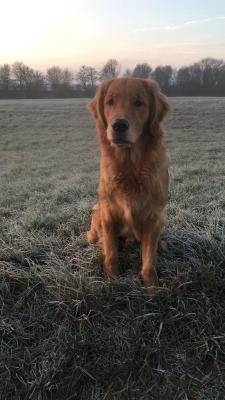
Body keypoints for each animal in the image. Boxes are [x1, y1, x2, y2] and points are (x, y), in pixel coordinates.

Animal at [87, 77, 170, 294]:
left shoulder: (153, 217)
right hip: (98, 211)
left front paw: (152, 287)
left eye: (139, 103)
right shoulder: (108, 214)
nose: (119, 125)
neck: (130, 166)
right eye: (110, 102)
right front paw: (112, 280)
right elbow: (111, 253)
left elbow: (149, 260)